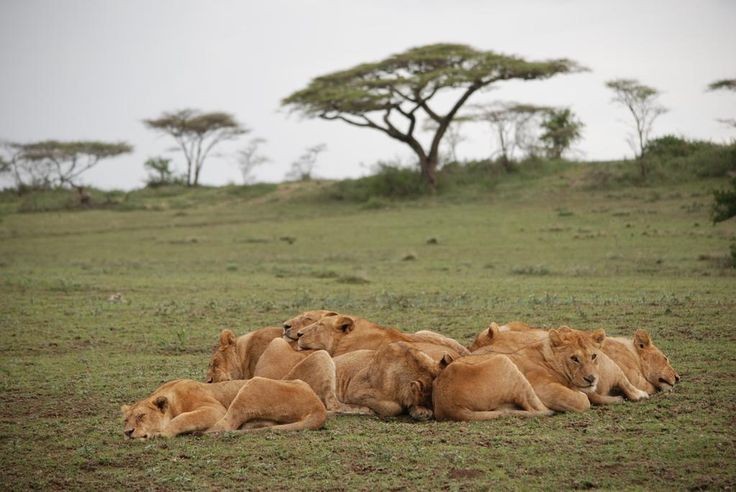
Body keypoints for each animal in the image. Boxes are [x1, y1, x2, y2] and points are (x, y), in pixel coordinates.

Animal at [121, 377, 326, 438]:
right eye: (125, 420)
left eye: (141, 416)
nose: (127, 432)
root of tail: (318, 406)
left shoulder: (214, 409)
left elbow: (183, 417)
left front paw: (162, 433)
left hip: (252, 384)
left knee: (226, 426)